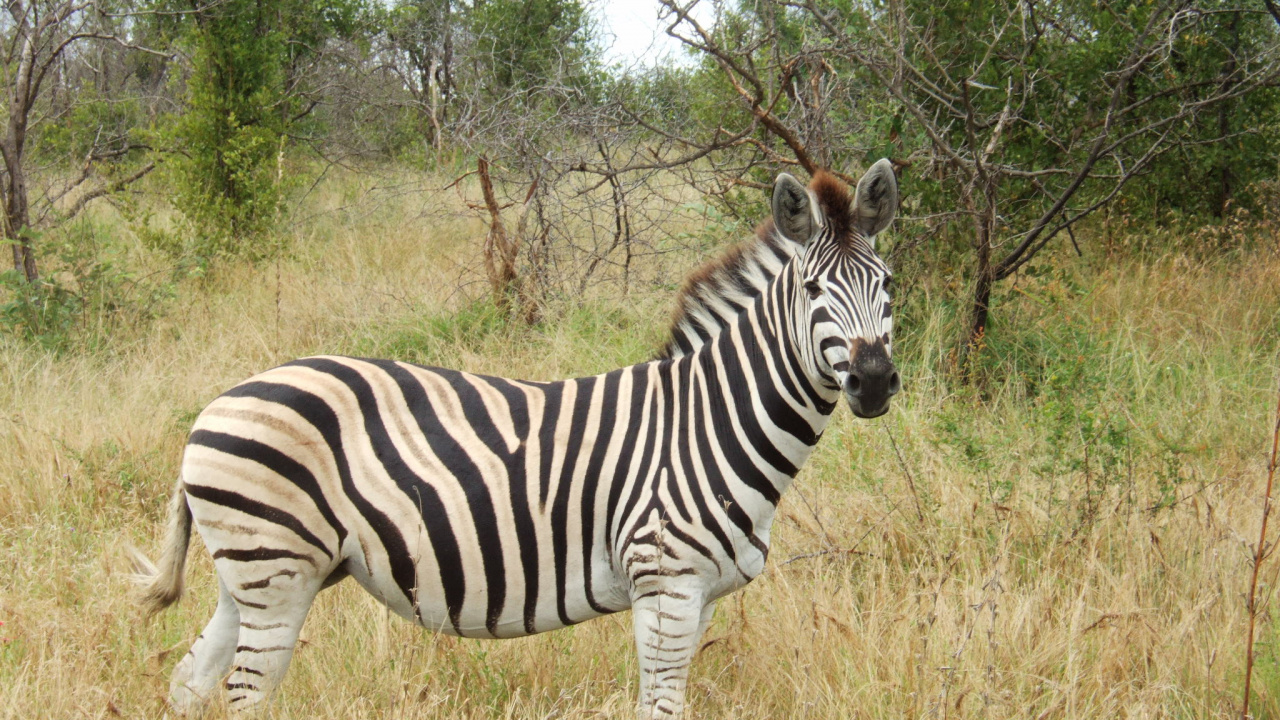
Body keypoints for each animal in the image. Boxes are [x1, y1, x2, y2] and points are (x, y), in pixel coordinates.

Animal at [134, 160, 901, 719]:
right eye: (812, 290)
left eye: (888, 284)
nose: (872, 381)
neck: (708, 423)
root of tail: (214, 407)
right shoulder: (665, 586)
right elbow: (660, 707)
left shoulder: (700, 593)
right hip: (276, 571)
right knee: (243, 692)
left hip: (253, 575)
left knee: (189, 681)